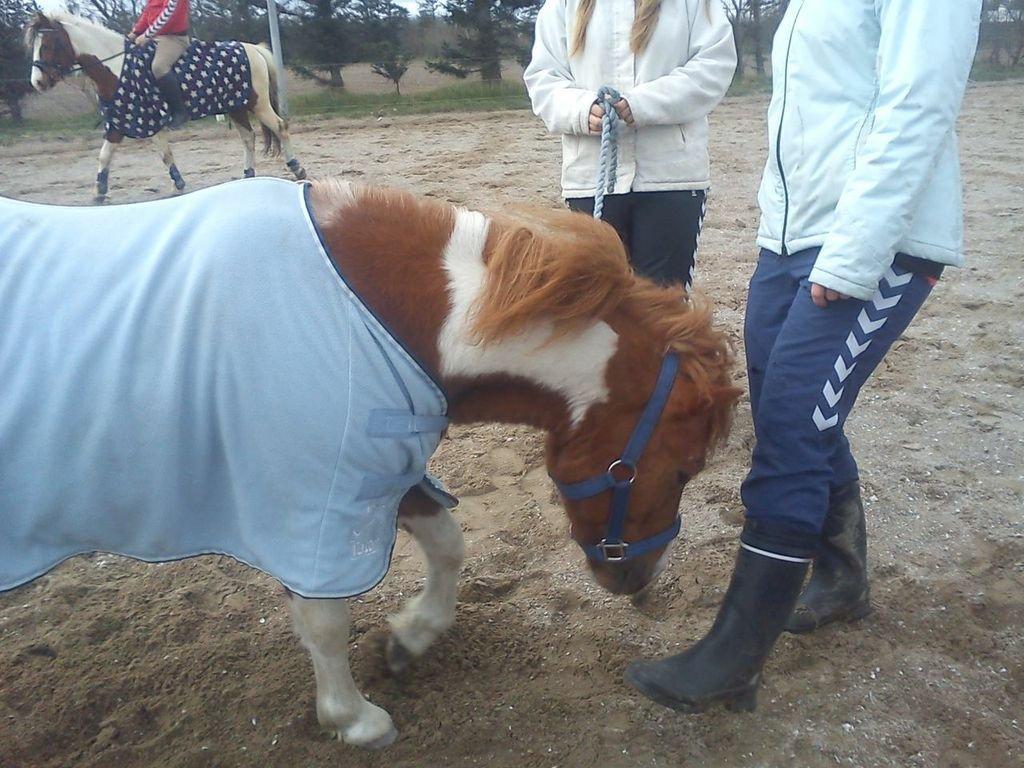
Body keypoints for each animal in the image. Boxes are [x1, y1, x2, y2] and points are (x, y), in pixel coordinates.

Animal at [23, 12, 303, 204]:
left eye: (47, 45)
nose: (37, 82)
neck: (117, 67)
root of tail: (253, 48)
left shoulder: (150, 120)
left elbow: (164, 154)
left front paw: (178, 185)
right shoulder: (118, 122)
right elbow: (105, 155)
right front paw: (99, 192)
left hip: (258, 103)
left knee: (280, 127)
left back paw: (296, 167)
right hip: (236, 106)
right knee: (248, 137)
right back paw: (248, 175)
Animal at [284, 179, 741, 745]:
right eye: (685, 469)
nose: (645, 581)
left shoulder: (387, 464)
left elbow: (448, 546)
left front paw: (409, 638)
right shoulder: (316, 495)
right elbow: (324, 616)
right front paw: (353, 717)